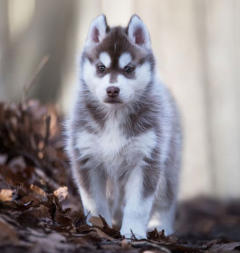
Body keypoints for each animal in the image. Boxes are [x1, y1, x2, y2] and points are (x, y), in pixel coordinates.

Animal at [64, 14, 181, 239]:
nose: (112, 90)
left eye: (129, 69)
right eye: (101, 68)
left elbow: (138, 206)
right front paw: (98, 227)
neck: (114, 116)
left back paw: (160, 227)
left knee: (165, 202)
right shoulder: (87, 158)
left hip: (167, 169)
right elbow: (95, 203)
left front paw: (133, 232)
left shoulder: (146, 160)